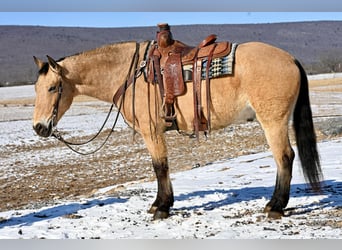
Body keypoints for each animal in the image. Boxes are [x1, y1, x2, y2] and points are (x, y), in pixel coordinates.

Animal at [31, 34, 320, 219]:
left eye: (53, 88)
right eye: (36, 88)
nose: (39, 127)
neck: (130, 73)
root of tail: (290, 59)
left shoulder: (151, 131)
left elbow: (160, 166)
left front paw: (161, 207)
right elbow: (161, 166)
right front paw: (160, 204)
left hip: (273, 121)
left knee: (285, 157)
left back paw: (275, 206)